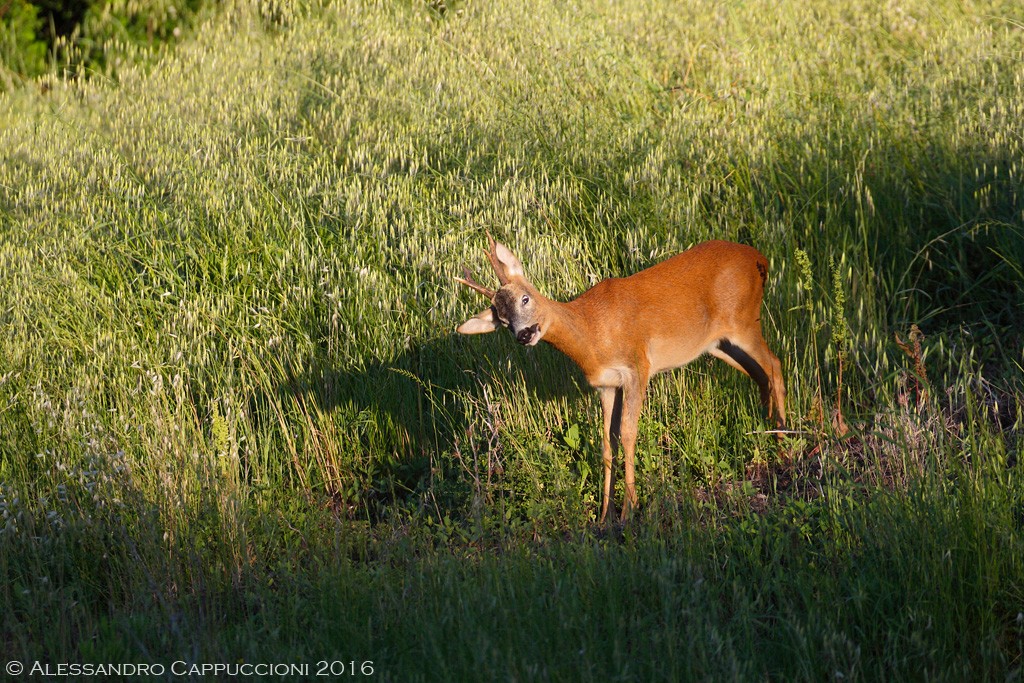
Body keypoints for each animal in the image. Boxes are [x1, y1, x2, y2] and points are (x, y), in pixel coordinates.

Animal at [456, 235, 782, 524]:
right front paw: (604, 516)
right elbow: (606, 443)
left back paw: (783, 440)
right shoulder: (606, 384)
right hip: (720, 344)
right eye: (502, 321)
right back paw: (770, 427)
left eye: (525, 298)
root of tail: (760, 258)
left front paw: (630, 509)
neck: (591, 332)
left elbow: (627, 433)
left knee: (775, 366)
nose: (524, 334)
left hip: (744, 322)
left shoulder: (637, 368)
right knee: (760, 373)